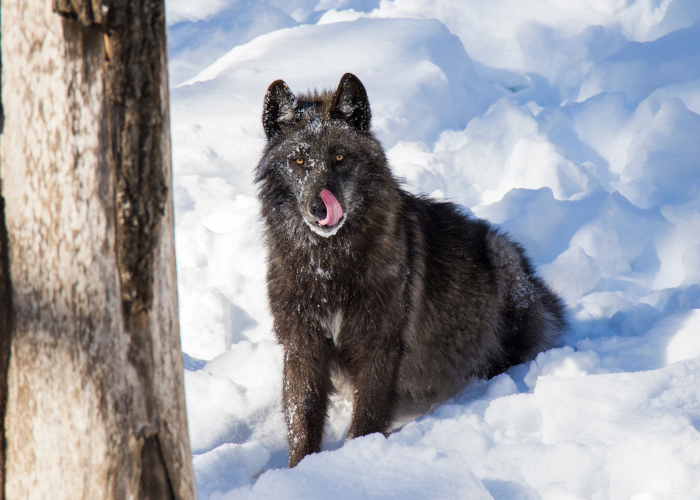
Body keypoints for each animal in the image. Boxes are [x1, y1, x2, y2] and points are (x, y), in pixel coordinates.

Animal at [255, 73, 567, 468]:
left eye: (339, 157)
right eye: (298, 160)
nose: (319, 207)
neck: (329, 266)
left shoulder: (379, 344)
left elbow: (367, 417)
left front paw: (353, 461)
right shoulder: (302, 346)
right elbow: (303, 417)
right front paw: (299, 471)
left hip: (502, 259)